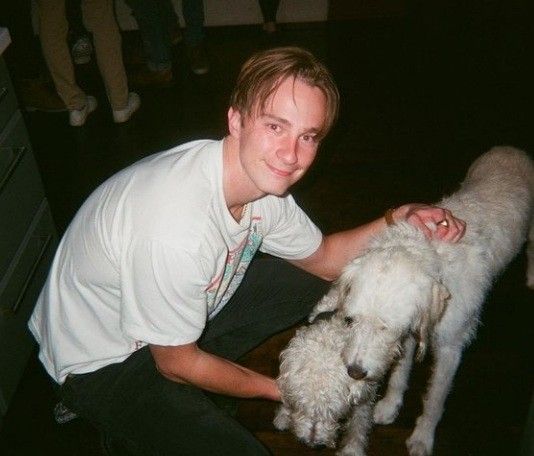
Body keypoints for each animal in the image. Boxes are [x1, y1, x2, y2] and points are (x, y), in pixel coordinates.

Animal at [276, 147, 534, 456]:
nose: (355, 372)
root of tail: (512, 150)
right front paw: (389, 406)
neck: (431, 252)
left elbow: (435, 399)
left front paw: (422, 437)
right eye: (350, 320)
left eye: (385, 327)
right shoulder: (411, 332)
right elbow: (400, 373)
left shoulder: (450, 348)